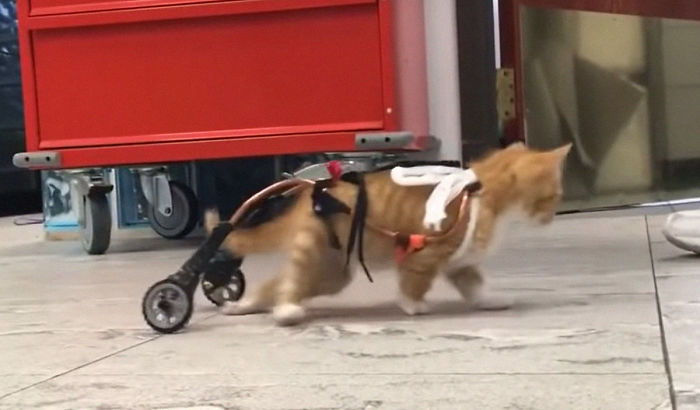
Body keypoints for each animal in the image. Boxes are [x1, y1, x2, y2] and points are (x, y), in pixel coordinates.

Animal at [205, 143, 572, 326]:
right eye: (553, 196)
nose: (552, 217)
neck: (481, 192)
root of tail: (309, 194)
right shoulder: (426, 253)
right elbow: (414, 281)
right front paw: (412, 305)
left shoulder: (461, 262)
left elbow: (475, 285)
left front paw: (488, 300)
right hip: (315, 250)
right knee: (290, 282)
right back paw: (285, 311)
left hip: (331, 270)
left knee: (276, 283)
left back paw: (242, 306)